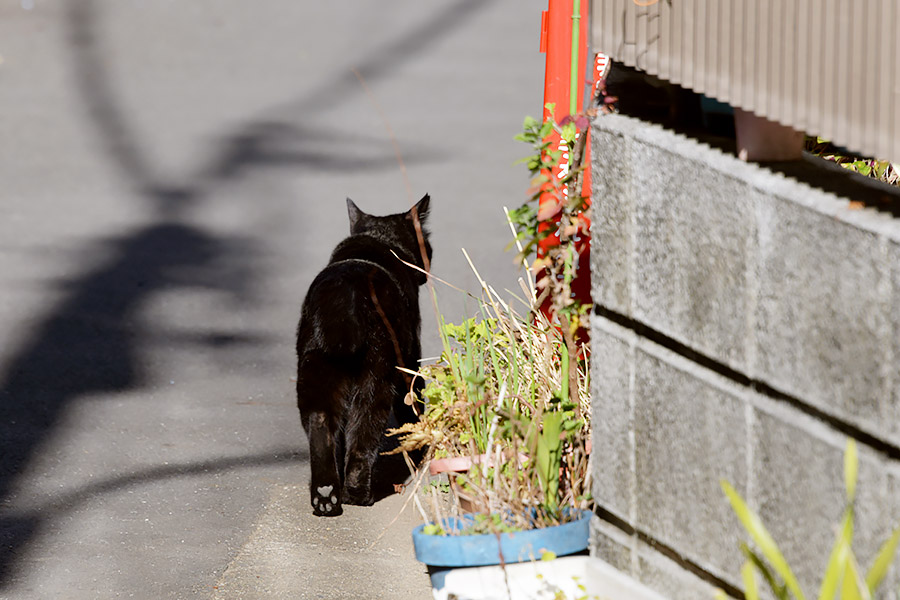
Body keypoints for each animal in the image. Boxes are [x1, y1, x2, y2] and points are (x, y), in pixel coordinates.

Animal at [296, 196, 432, 516]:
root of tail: (343, 295)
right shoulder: (410, 359)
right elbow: (413, 405)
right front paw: (420, 447)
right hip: (376, 380)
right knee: (363, 436)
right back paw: (358, 495)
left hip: (314, 378)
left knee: (321, 428)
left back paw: (325, 496)